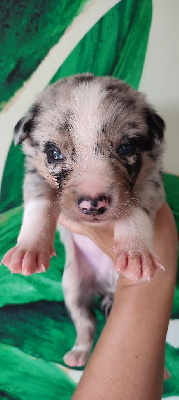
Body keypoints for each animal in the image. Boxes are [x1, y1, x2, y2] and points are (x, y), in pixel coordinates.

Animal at [2, 73, 166, 368]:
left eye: (126, 147)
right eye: (54, 153)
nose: (93, 204)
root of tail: (106, 288)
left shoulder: (152, 180)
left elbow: (136, 210)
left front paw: (135, 252)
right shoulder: (34, 176)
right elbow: (39, 206)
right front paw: (29, 249)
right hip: (73, 288)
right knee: (86, 323)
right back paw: (79, 352)